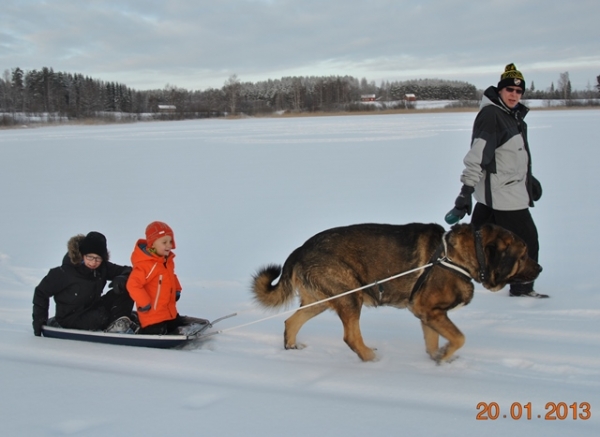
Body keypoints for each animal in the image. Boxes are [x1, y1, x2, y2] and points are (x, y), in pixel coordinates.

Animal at [251, 221, 540, 362]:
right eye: (524, 255)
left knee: (291, 322)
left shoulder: (428, 314)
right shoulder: (430, 311)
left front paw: (438, 357)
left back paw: (292, 348)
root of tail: (299, 250)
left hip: (323, 300)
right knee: (351, 337)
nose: (540, 268)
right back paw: (370, 358)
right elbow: (459, 338)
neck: (461, 255)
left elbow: (433, 342)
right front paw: (446, 356)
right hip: (350, 295)